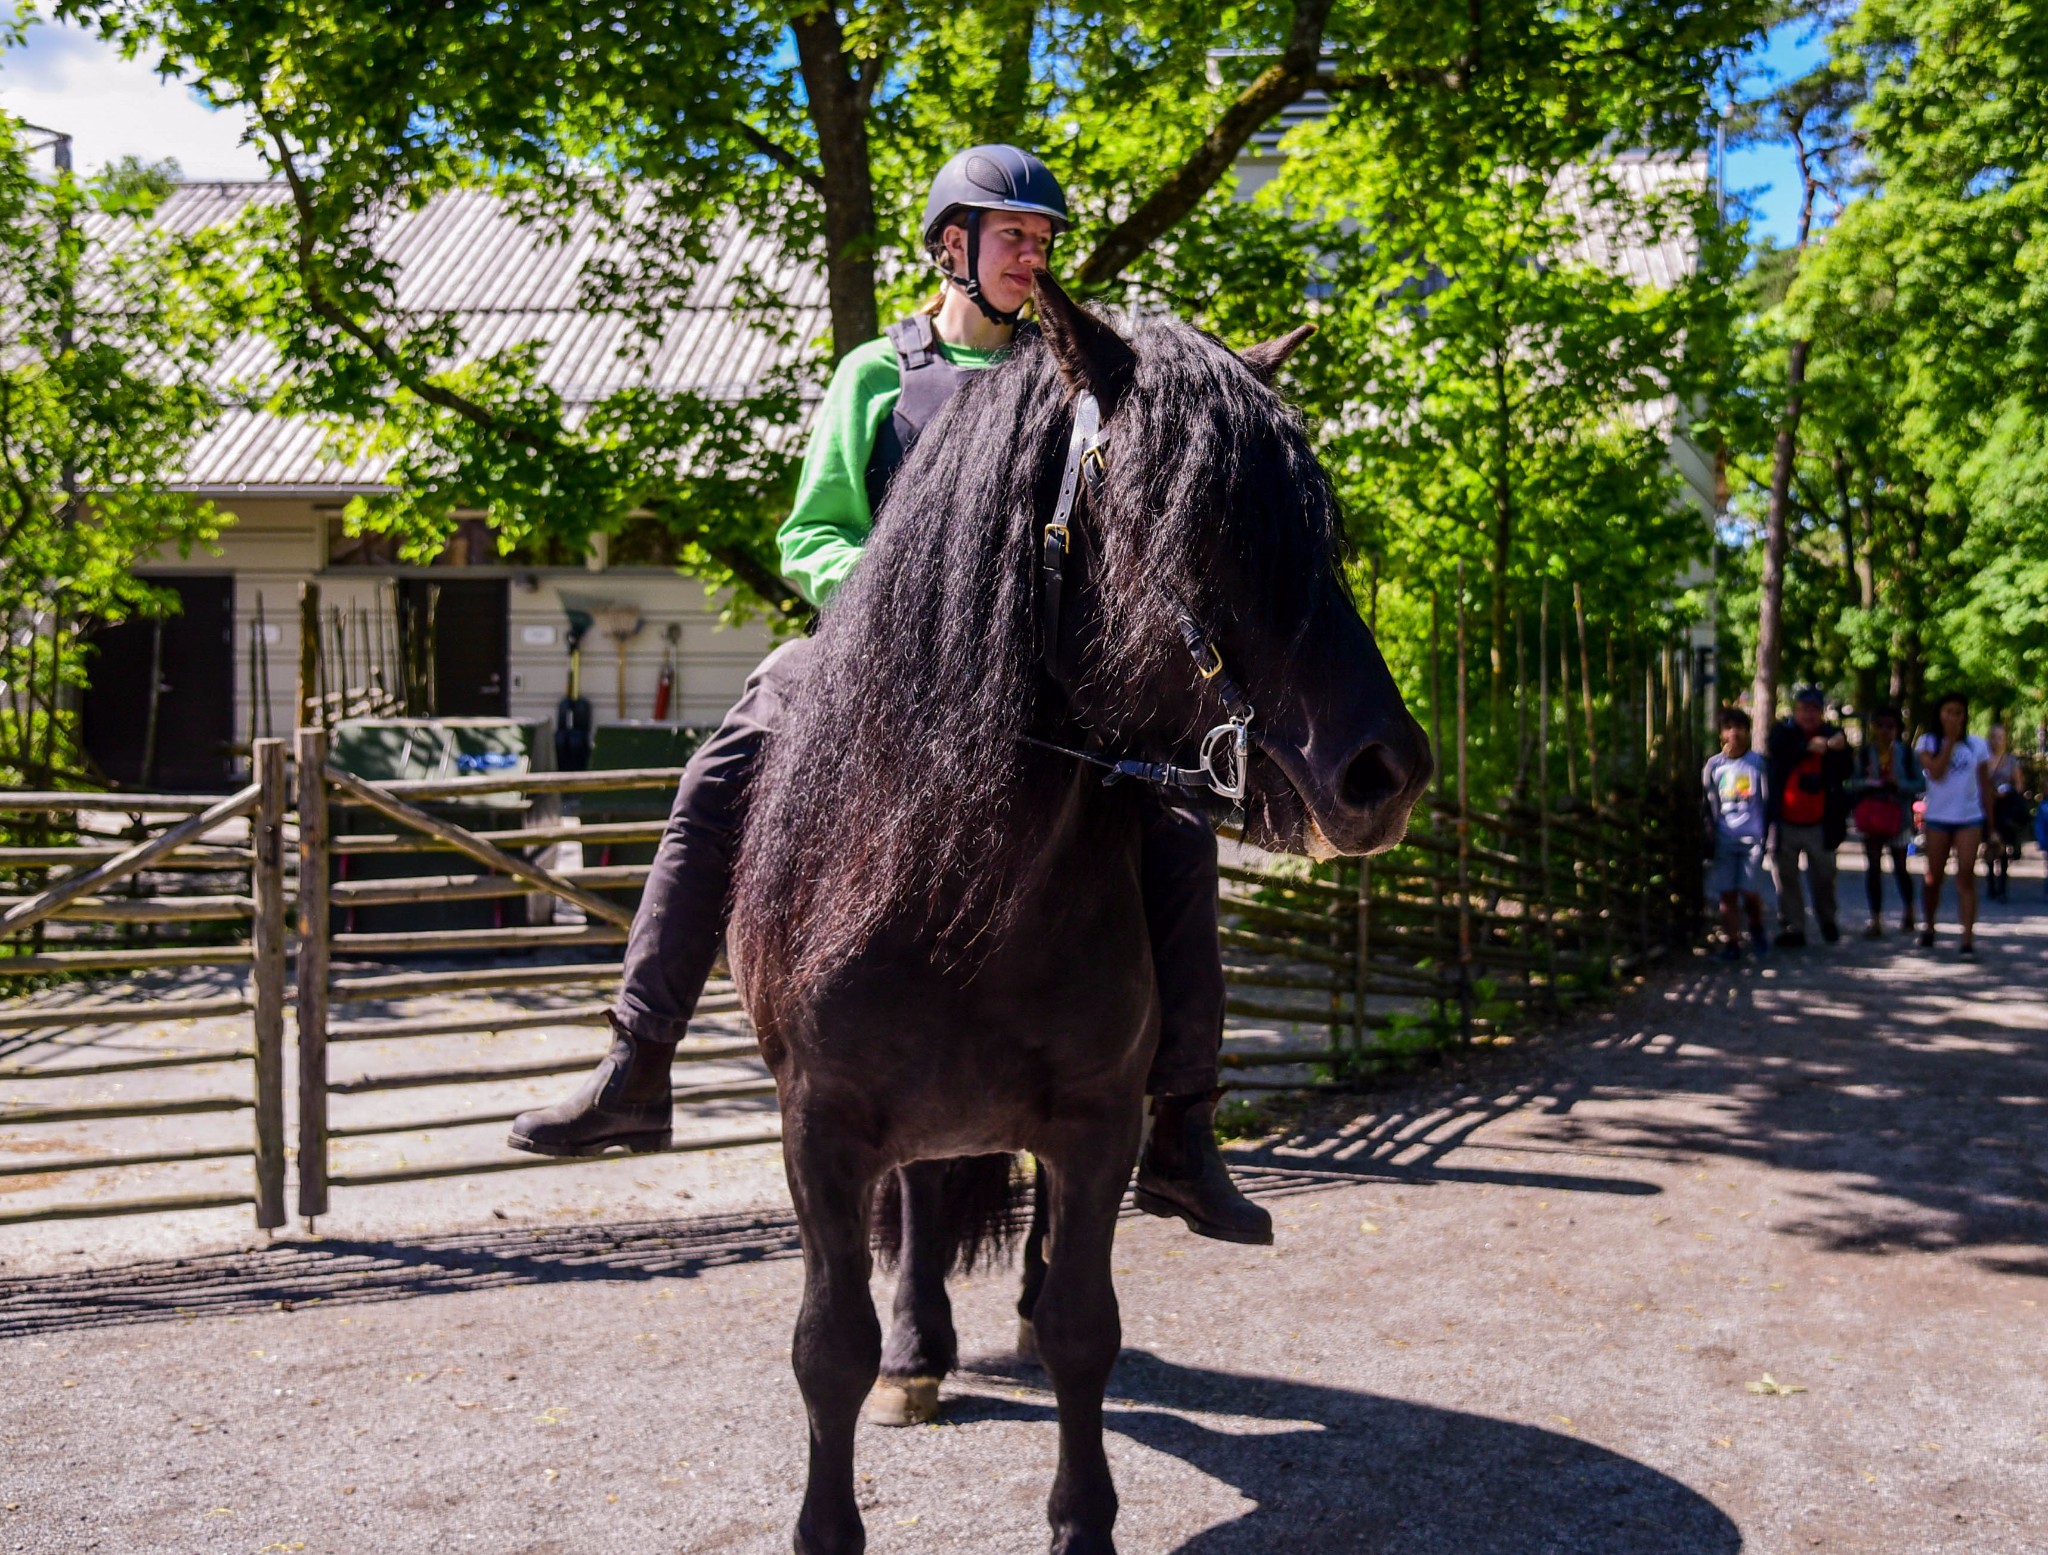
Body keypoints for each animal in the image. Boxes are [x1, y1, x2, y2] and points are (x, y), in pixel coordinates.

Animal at [733, 280, 1425, 1555]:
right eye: (1194, 515)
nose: (1383, 774)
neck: (953, 884)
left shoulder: (1096, 1123)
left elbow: (1080, 1327)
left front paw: (1080, 1520)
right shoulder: (820, 1131)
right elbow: (828, 1348)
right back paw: (917, 1355)